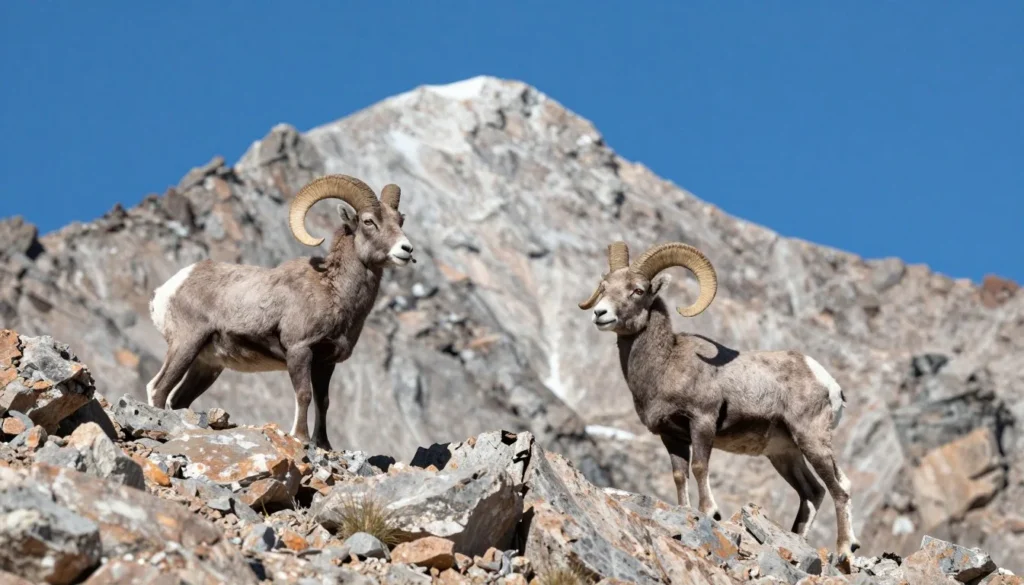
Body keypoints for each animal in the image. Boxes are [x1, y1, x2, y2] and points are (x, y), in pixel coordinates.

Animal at [146, 174, 415, 450]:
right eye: (369, 221)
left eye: (400, 221)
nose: (406, 249)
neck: (332, 290)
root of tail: (168, 289)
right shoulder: (299, 350)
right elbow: (304, 395)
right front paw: (301, 438)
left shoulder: (325, 363)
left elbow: (323, 402)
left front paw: (324, 445)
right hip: (186, 344)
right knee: (158, 389)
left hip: (206, 365)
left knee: (178, 399)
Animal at [577, 240, 861, 558]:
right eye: (604, 286)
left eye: (637, 290)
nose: (600, 313)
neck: (666, 364)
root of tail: (828, 382)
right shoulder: (671, 436)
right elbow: (680, 475)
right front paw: (685, 510)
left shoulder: (702, 421)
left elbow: (700, 467)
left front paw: (710, 512)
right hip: (785, 453)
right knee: (814, 492)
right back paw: (799, 539)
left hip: (811, 440)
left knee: (839, 489)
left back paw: (845, 549)